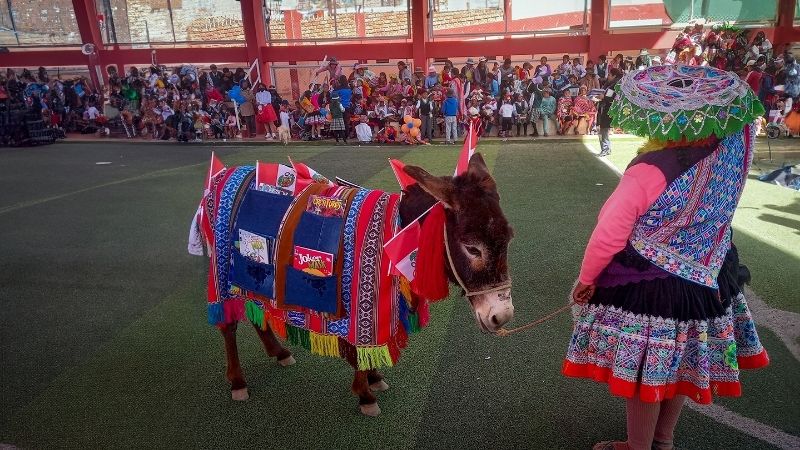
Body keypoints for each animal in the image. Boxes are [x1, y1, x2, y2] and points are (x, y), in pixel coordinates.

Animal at [191, 153, 514, 416]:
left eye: (509, 238)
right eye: (472, 249)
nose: (501, 316)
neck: (396, 233)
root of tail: (222, 176)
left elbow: (364, 349)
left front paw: (373, 378)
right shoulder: (358, 307)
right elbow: (357, 349)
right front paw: (365, 394)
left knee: (256, 311)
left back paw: (279, 353)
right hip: (221, 274)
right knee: (228, 325)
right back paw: (237, 381)